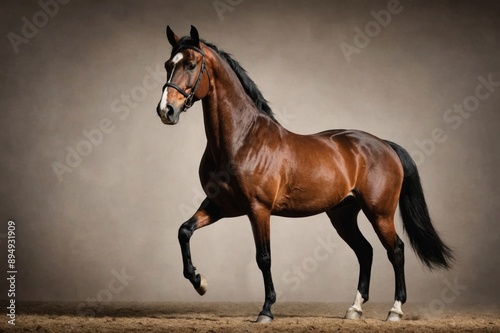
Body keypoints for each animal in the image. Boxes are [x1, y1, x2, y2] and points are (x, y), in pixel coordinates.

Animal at [155, 25, 454, 322]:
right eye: (168, 65)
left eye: (191, 65)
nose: (165, 110)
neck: (242, 139)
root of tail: (384, 145)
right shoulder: (220, 206)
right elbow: (184, 231)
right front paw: (199, 281)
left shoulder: (258, 209)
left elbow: (264, 257)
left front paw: (266, 310)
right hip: (343, 215)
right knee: (365, 251)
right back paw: (354, 309)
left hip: (379, 213)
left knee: (396, 251)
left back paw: (395, 309)